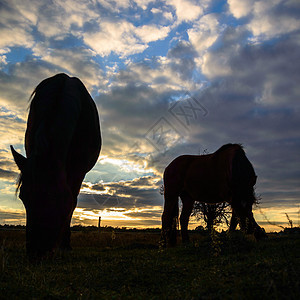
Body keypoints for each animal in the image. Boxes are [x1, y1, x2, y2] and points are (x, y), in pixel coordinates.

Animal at [11, 72, 101, 258]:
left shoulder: (78, 170)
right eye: (23, 197)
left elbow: (72, 202)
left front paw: (64, 244)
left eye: (54, 196)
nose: (35, 253)